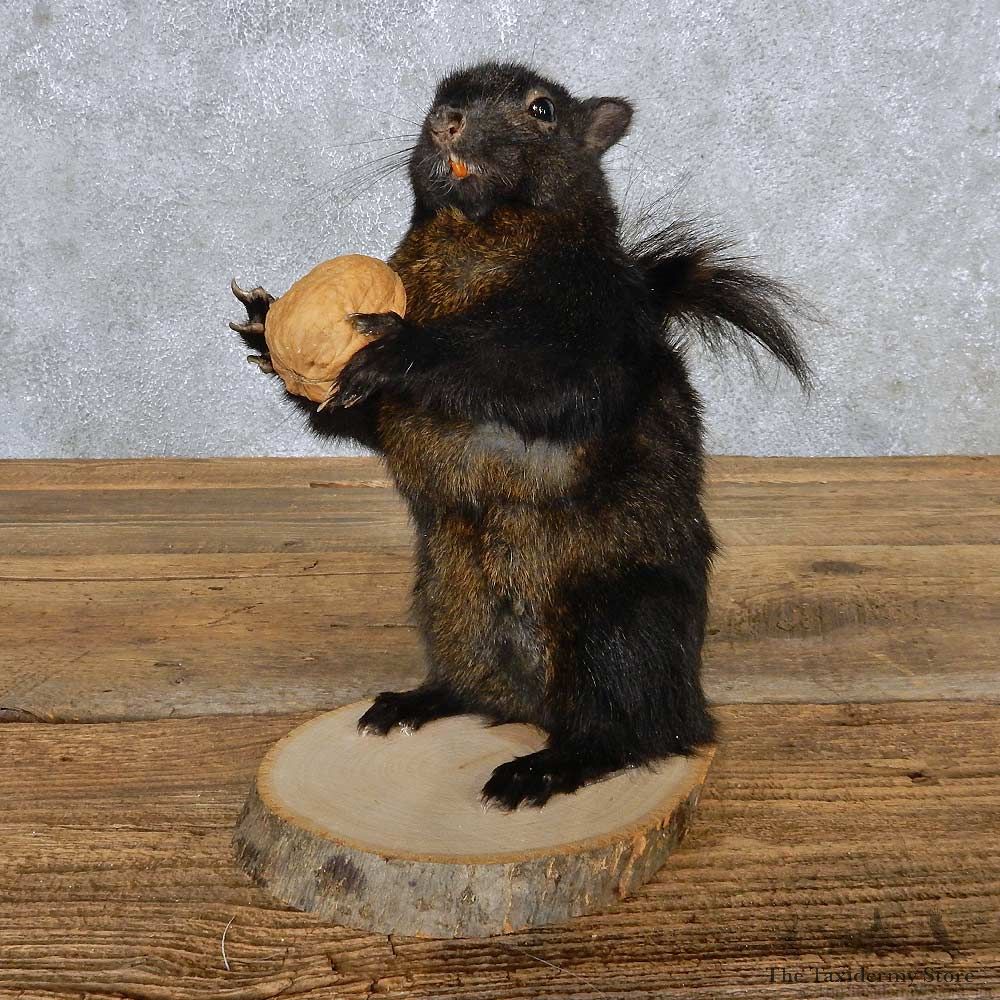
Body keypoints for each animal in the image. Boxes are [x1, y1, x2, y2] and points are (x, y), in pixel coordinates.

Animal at [230, 61, 812, 809]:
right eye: (436, 95)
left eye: (542, 110)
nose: (448, 120)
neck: (476, 232)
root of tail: (538, 705)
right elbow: (357, 417)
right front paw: (263, 325)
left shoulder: (599, 328)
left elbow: (535, 375)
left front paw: (399, 346)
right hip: (451, 602)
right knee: (482, 693)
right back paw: (418, 702)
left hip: (616, 631)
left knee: (634, 735)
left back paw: (543, 768)